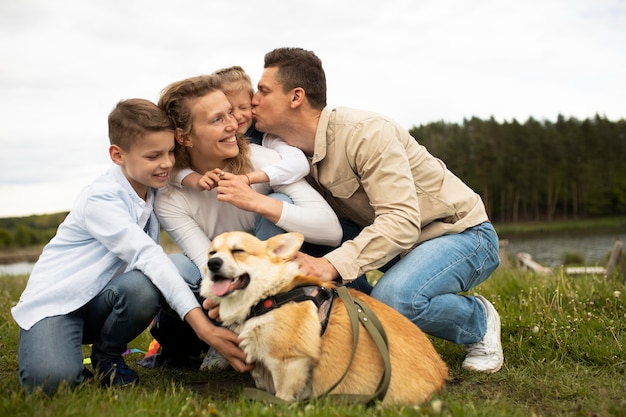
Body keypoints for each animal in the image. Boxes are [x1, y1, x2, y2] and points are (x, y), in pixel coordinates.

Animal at [197, 231, 446, 404]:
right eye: (212, 252)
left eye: (238, 251)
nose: (213, 264)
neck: (267, 296)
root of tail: (440, 376)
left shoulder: (289, 361)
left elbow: (282, 393)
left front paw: (278, 405)